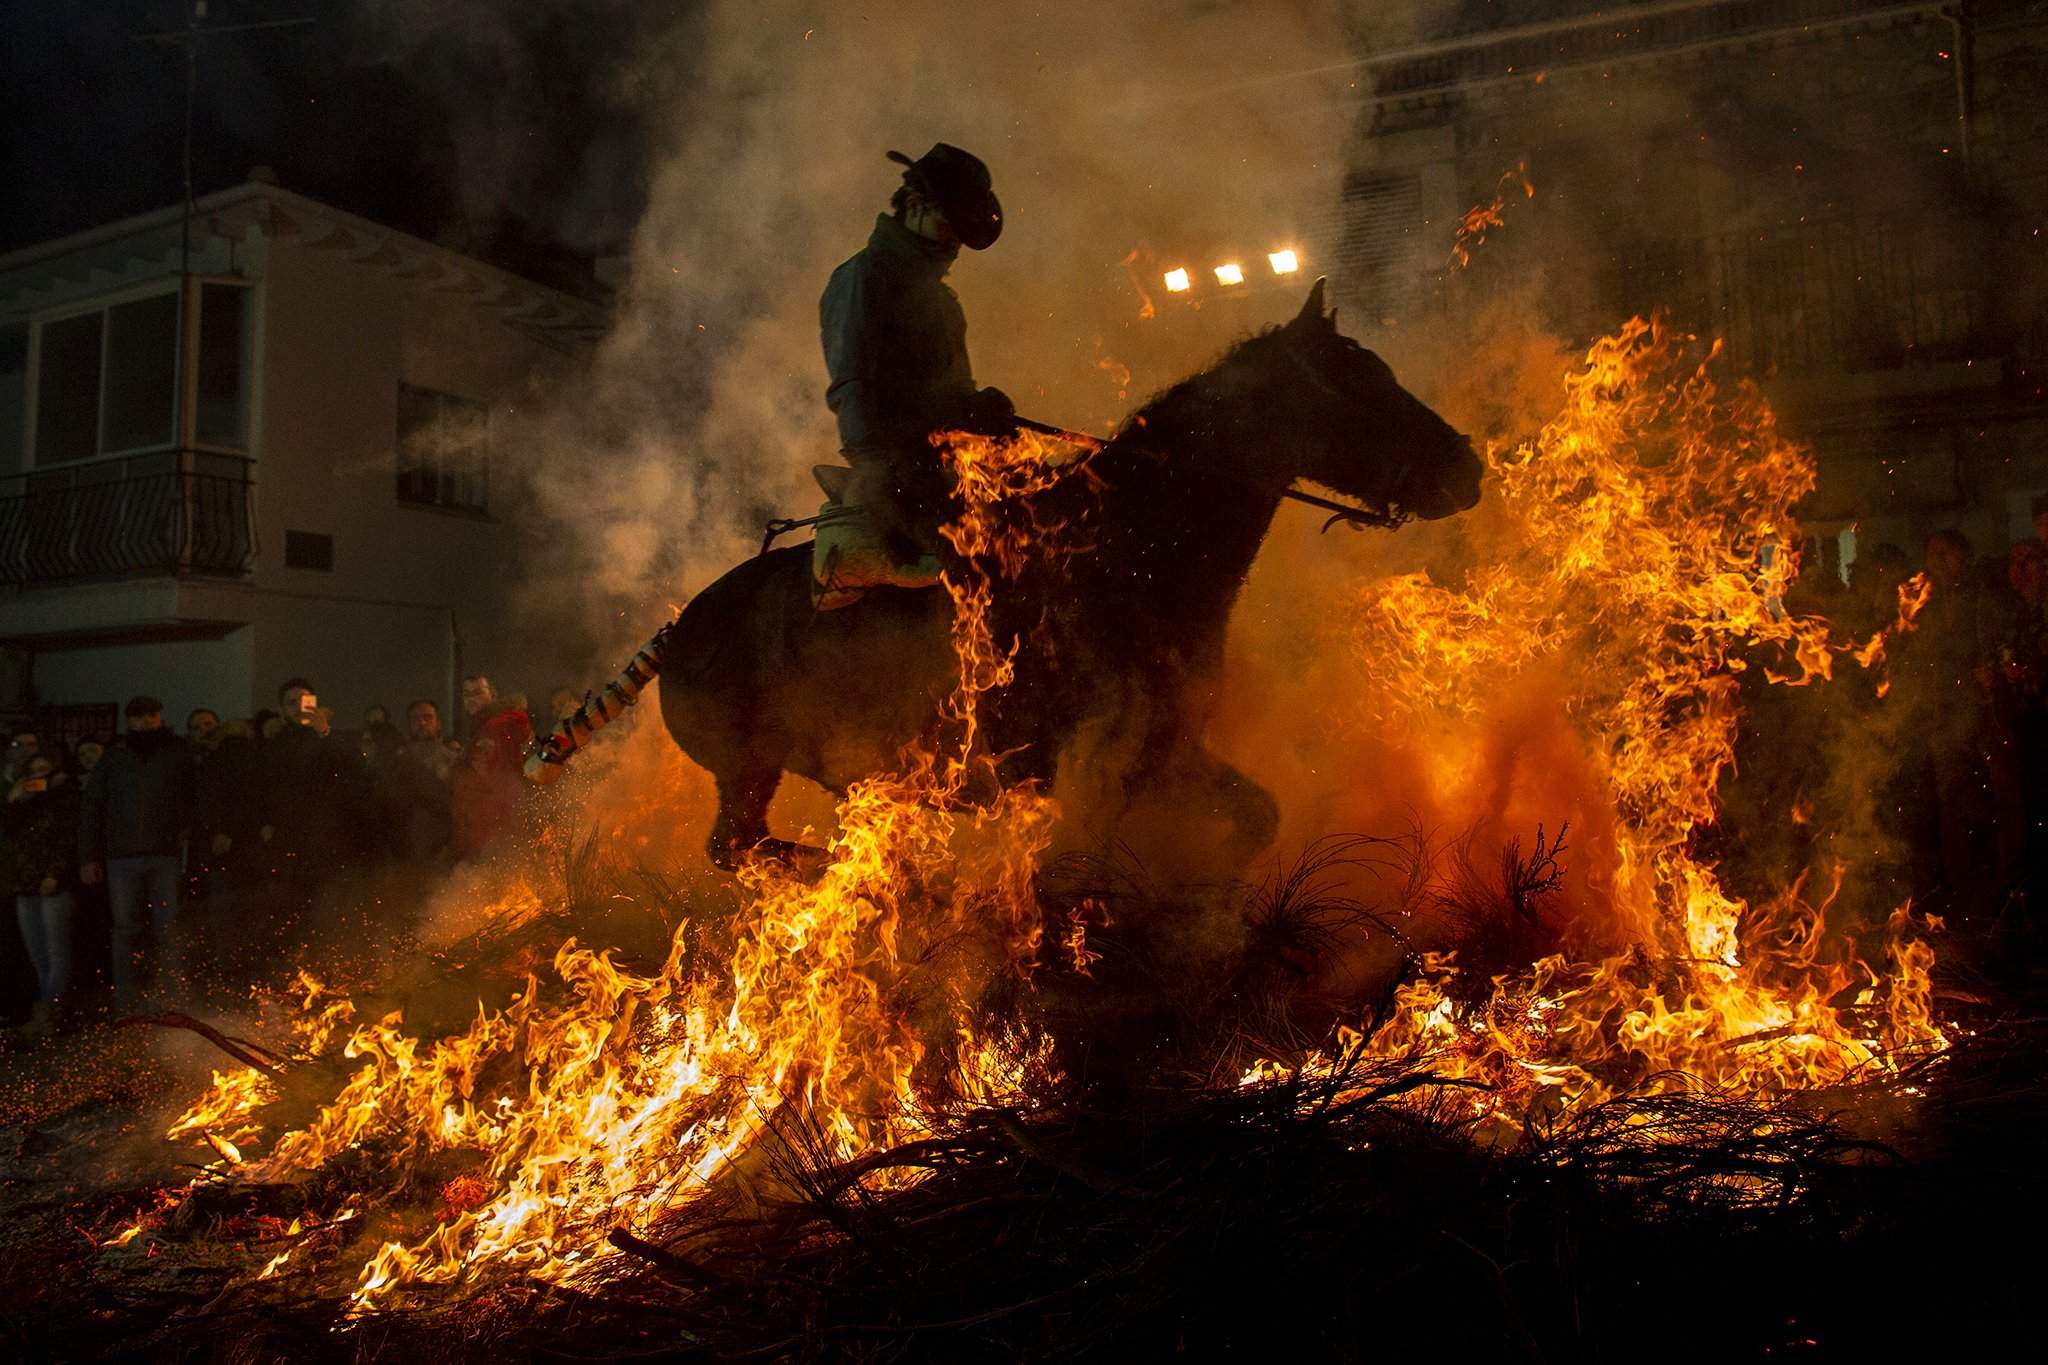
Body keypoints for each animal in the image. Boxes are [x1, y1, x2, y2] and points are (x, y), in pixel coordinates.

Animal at [663, 282, 1482, 871]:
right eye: (1359, 380)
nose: (1467, 466)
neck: (1130, 545)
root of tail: (678, 629)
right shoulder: (1093, 767)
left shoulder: (1170, 752)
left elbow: (1257, 818)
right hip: (748, 770)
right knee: (737, 847)